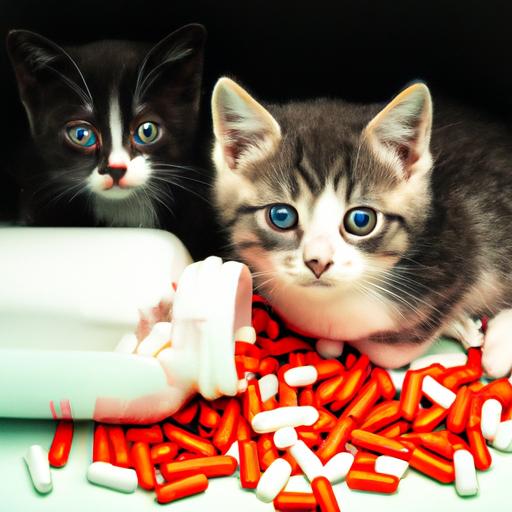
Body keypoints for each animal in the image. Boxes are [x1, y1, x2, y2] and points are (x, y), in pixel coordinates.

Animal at [210, 76, 512, 376]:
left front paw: (456, 323)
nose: (318, 262)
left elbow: (388, 351)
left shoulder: (464, 253)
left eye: (361, 220)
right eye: (281, 216)